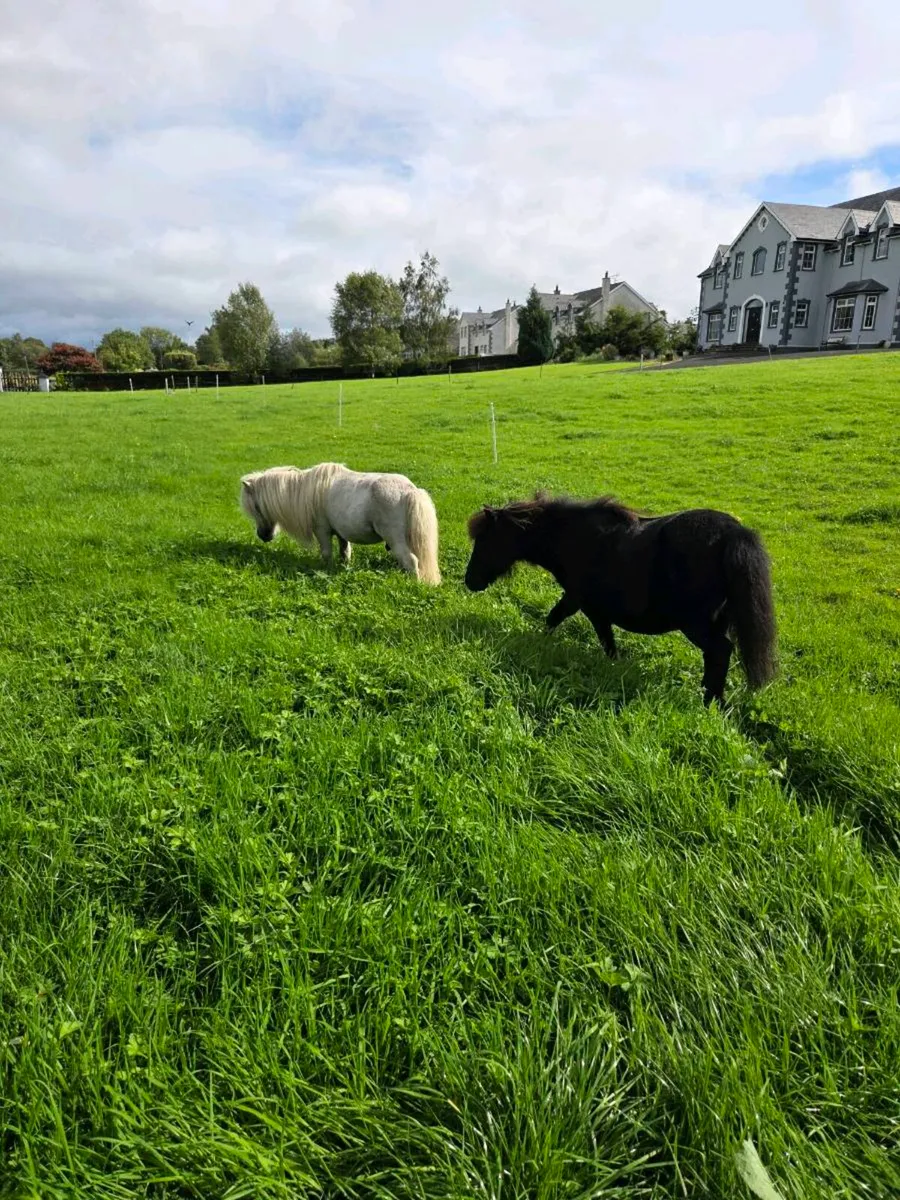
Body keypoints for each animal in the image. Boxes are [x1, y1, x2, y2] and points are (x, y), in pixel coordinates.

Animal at [239, 462, 441, 584]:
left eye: (256, 507)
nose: (263, 536)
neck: (309, 491)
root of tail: (409, 490)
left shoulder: (322, 531)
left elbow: (327, 554)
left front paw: (326, 570)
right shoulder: (341, 534)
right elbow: (345, 553)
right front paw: (344, 569)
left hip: (395, 540)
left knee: (410, 561)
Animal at [464, 492, 776, 705]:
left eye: (485, 540)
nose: (470, 581)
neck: (571, 537)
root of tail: (734, 533)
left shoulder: (582, 603)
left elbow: (582, 630)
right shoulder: (584, 604)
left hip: (696, 625)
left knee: (720, 651)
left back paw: (711, 702)